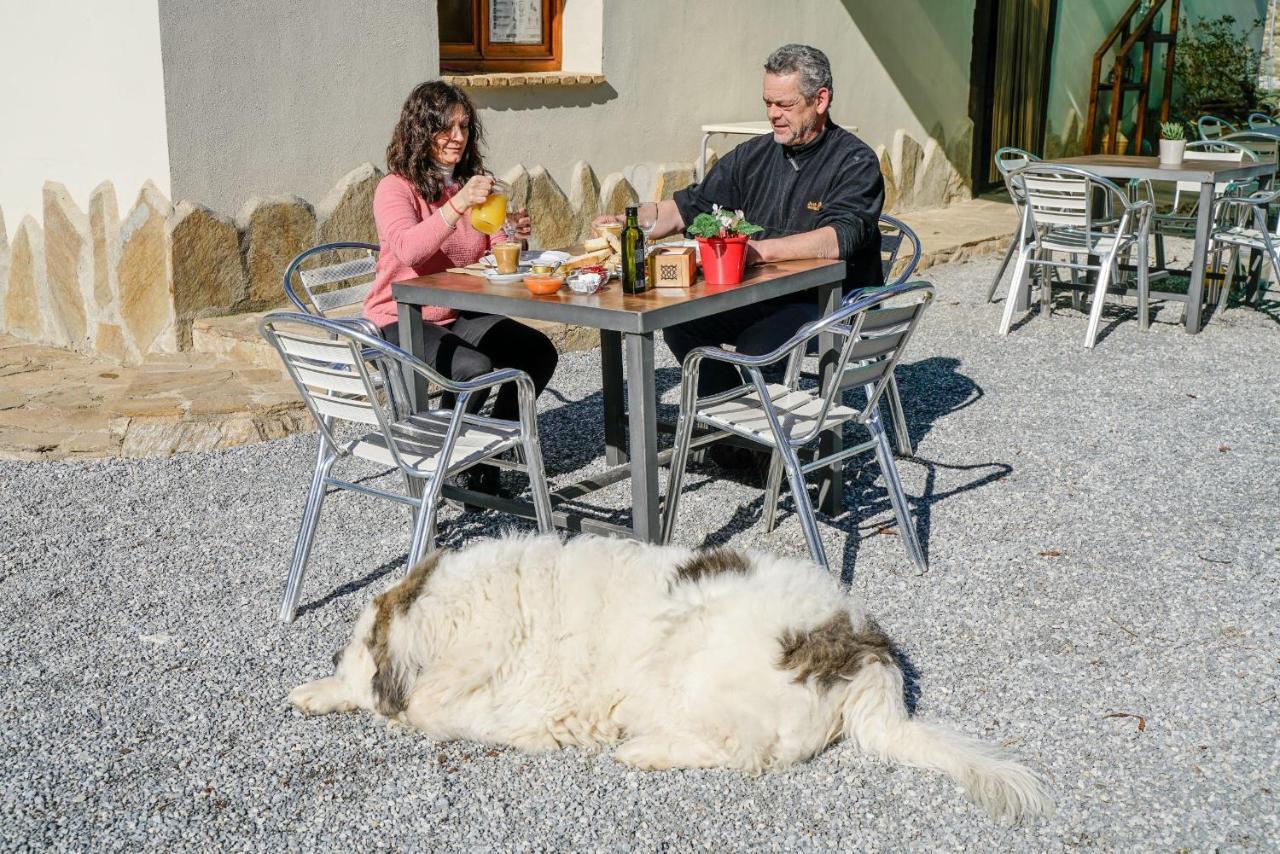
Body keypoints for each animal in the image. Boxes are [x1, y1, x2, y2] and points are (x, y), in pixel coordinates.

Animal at [290, 535, 1049, 819]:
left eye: (359, 645)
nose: (334, 662)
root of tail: (864, 647)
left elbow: (425, 710)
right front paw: (312, 691)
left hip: (702, 661)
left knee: (741, 748)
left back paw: (644, 750)